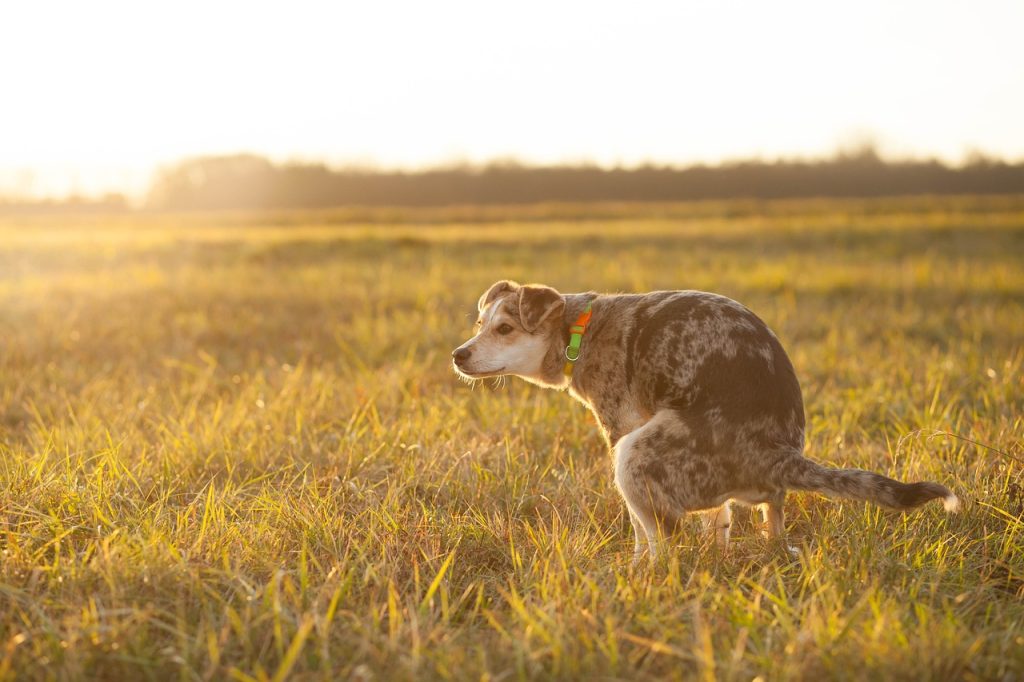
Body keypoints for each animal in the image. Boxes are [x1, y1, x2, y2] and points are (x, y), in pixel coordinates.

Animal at [452, 278, 954, 557]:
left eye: (505, 328)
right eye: (479, 325)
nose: (458, 354)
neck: (579, 330)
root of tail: (778, 454)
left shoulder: (620, 429)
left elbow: (640, 530)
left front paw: (636, 566)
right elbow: (719, 522)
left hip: (634, 455)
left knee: (666, 540)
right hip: (754, 494)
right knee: (769, 521)